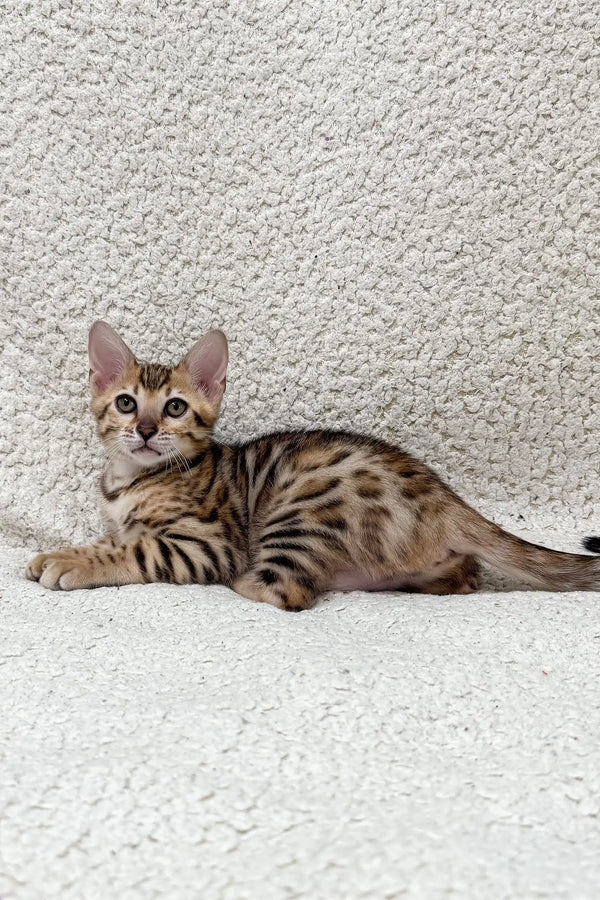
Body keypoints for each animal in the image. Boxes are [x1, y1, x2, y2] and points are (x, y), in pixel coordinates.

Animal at [25, 320, 600, 608]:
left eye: (175, 408)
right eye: (126, 403)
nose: (145, 430)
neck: (130, 480)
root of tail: (444, 496)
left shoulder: (206, 543)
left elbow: (135, 549)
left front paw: (70, 561)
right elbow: (113, 538)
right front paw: (66, 550)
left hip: (300, 505)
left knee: (288, 591)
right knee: (465, 574)